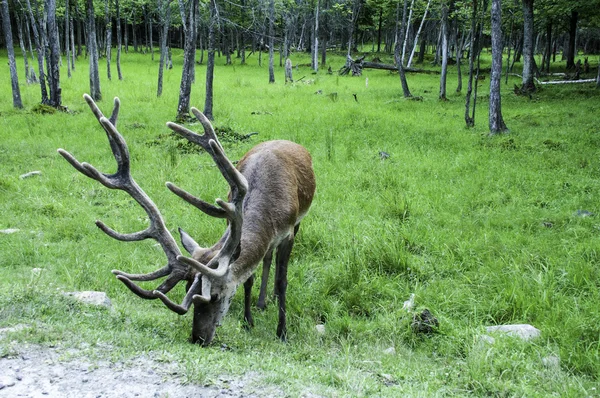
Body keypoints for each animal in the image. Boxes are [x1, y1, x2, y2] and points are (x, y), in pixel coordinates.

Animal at [58, 94, 316, 346]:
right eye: (187, 289)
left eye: (214, 295)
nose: (198, 338)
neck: (268, 215)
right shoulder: (231, 222)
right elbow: (248, 278)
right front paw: (247, 322)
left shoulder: (287, 231)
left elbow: (282, 281)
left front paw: (282, 333)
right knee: (267, 256)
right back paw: (261, 302)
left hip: (299, 220)